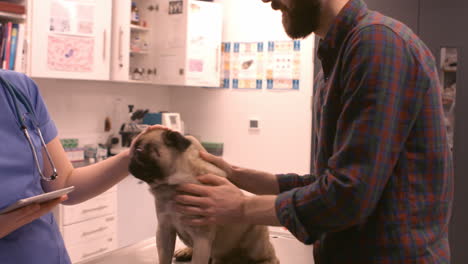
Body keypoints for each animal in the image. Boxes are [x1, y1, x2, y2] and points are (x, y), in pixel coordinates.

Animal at [128, 129, 278, 264]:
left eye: (139, 151)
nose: (129, 160)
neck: (174, 185)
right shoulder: (164, 230)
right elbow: (164, 258)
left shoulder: (202, 239)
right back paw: (187, 251)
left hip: (257, 237)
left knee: (269, 257)